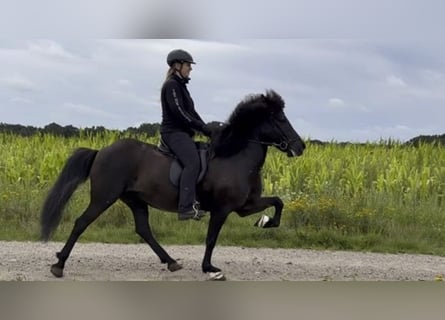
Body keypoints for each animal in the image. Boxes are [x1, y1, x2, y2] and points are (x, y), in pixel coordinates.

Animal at [40, 90, 306, 280]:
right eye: (281, 118)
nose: (300, 147)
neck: (236, 157)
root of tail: (101, 151)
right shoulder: (223, 209)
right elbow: (211, 238)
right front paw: (210, 268)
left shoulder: (245, 205)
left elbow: (278, 202)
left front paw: (266, 222)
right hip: (104, 197)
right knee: (81, 223)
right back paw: (59, 265)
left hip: (135, 200)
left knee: (143, 230)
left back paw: (171, 262)